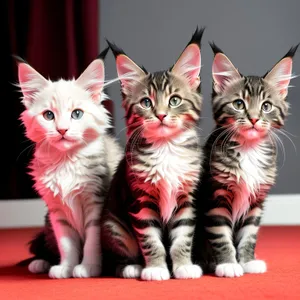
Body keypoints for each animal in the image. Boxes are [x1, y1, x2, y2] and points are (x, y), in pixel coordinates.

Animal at [17, 49, 123, 278]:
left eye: (77, 114)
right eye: (48, 115)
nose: (62, 130)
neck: (66, 162)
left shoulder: (96, 203)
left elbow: (92, 241)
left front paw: (88, 267)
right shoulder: (58, 213)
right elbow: (66, 244)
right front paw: (66, 267)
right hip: (48, 221)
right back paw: (41, 262)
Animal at [102, 28, 204, 282]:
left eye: (174, 100)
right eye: (146, 102)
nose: (160, 115)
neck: (165, 148)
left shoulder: (185, 200)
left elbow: (182, 239)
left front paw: (183, 266)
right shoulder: (141, 201)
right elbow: (150, 240)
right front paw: (156, 268)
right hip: (113, 226)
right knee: (117, 259)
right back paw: (132, 267)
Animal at [192, 43, 298, 278]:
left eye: (266, 106)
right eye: (239, 104)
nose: (254, 118)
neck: (248, 149)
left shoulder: (256, 202)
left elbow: (249, 235)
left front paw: (248, 261)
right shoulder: (216, 199)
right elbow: (221, 236)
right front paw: (228, 264)